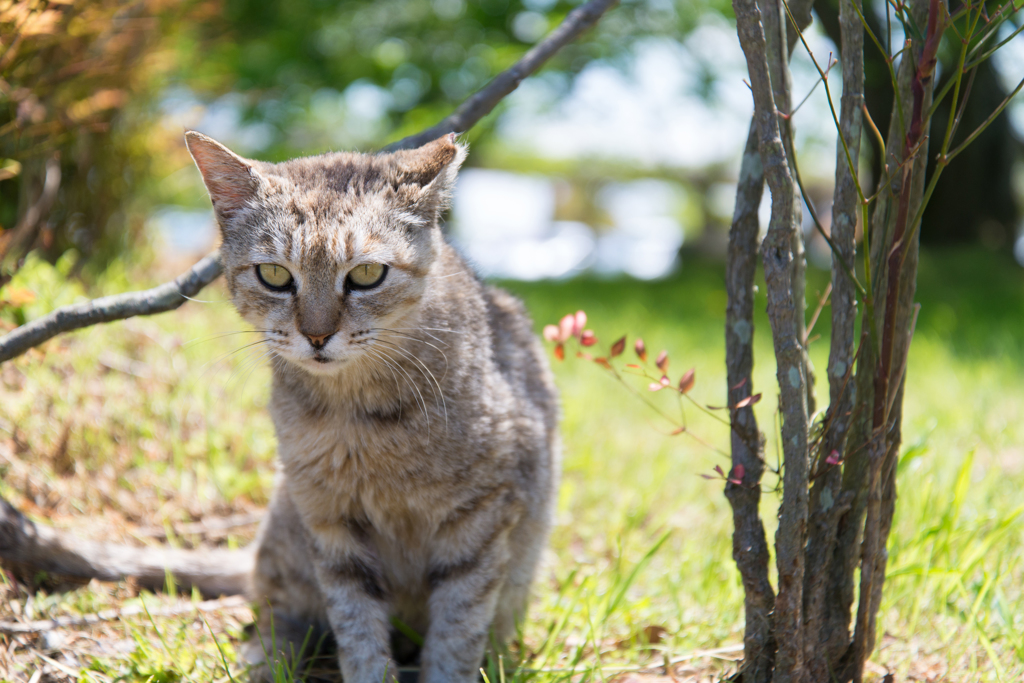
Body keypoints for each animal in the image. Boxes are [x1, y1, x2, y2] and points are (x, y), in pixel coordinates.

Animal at [0, 133, 561, 683]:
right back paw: (267, 660)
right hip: (289, 529)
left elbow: (456, 636)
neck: (356, 416)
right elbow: (357, 629)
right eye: (273, 274)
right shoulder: (330, 523)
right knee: (278, 611)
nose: (316, 335)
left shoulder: (479, 520)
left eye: (367, 274)